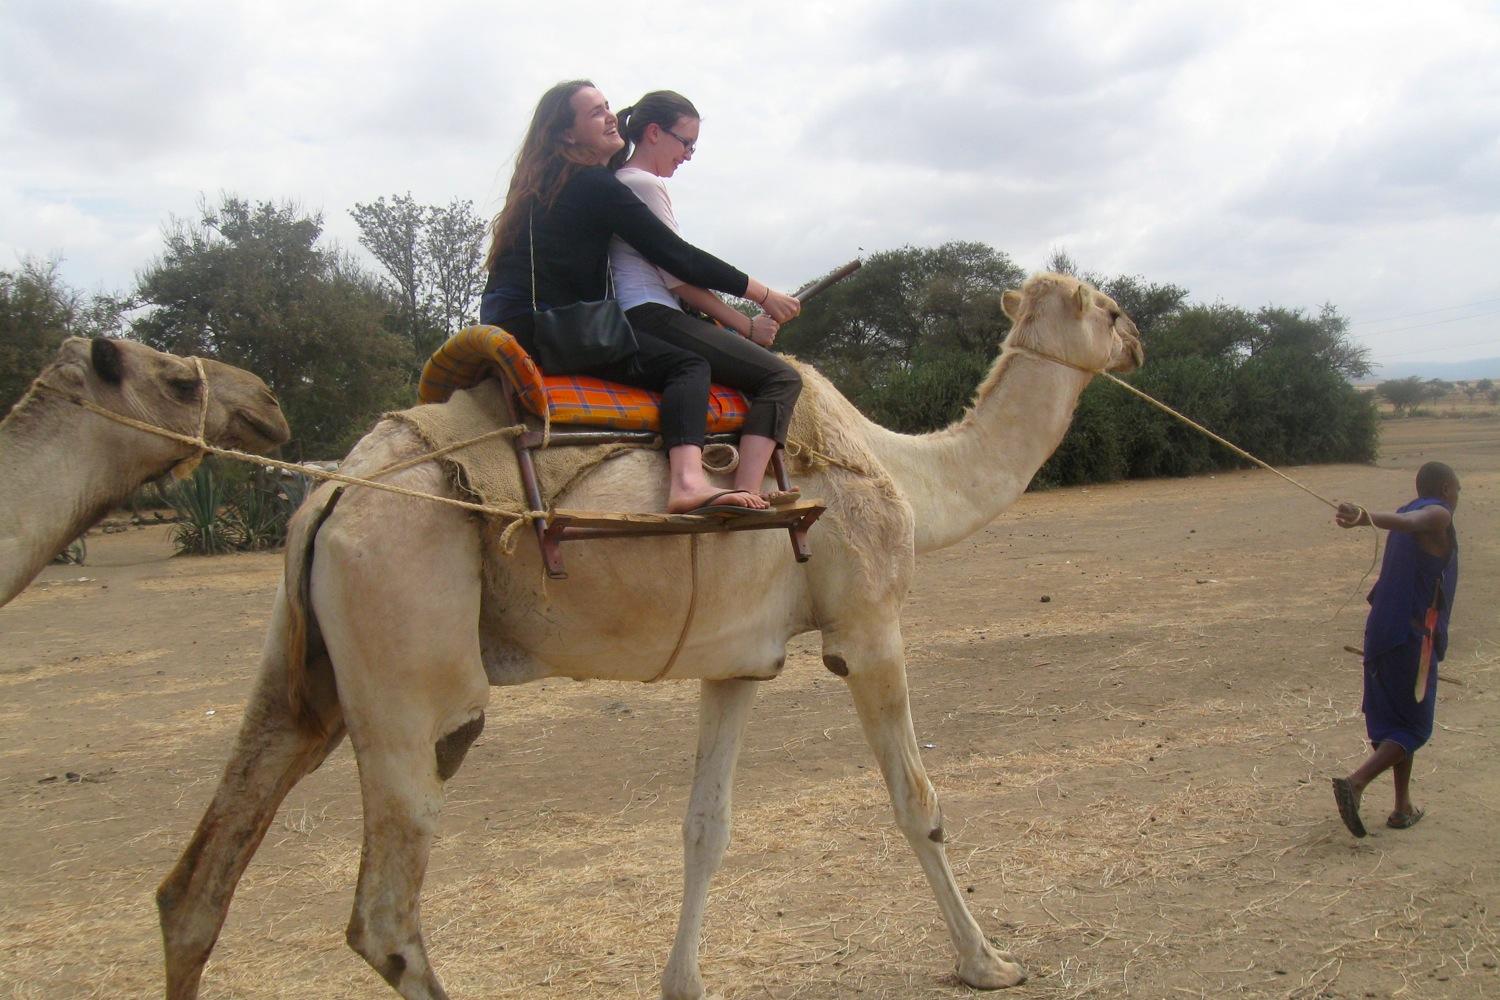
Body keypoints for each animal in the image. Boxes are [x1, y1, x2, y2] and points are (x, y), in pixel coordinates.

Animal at [158, 274, 1140, 1000]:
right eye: (1104, 306)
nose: (1137, 338)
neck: (904, 473)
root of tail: (330, 492)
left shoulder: (739, 660)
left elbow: (706, 826)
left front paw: (684, 983)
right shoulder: (868, 625)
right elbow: (918, 801)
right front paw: (989, 962)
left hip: (305, 672)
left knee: (195, 888)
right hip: (411, 670)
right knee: (385, 918)